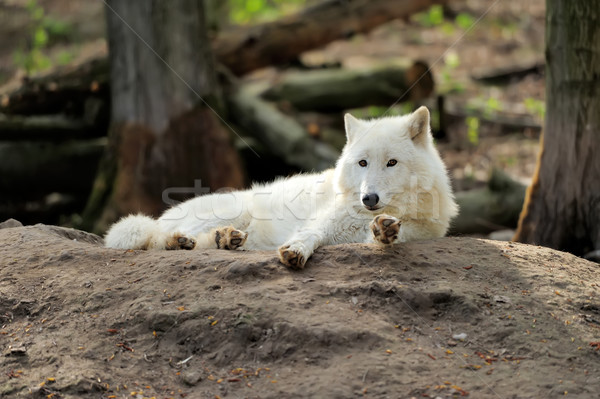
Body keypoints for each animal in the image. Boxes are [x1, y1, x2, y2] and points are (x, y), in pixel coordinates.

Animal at [104, 106, 460, 268]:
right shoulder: (321, 223)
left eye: (391, 163)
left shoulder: (422, 231)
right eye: (362, 163)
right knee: (154, 239)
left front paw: (385, 230)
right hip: (230, 210)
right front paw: (295, 252)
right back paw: (178, 241)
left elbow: (390, 234)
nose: (368, 198)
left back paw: (225, 240)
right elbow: (308, 236)